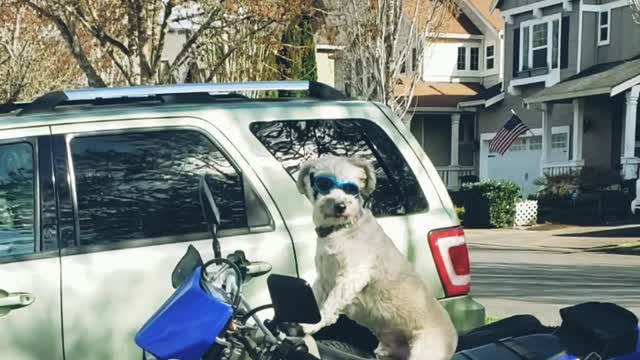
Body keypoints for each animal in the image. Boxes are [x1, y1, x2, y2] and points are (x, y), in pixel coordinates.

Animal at [298, 155, 458, 360]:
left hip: (425, 349)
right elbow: (316, 300)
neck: (342, 230)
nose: (341, 206)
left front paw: (311, 325)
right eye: (323, 183)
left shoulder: (352, 275)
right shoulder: (323, 279)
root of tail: (453, 336)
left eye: (352, 188)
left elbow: (330, 303)